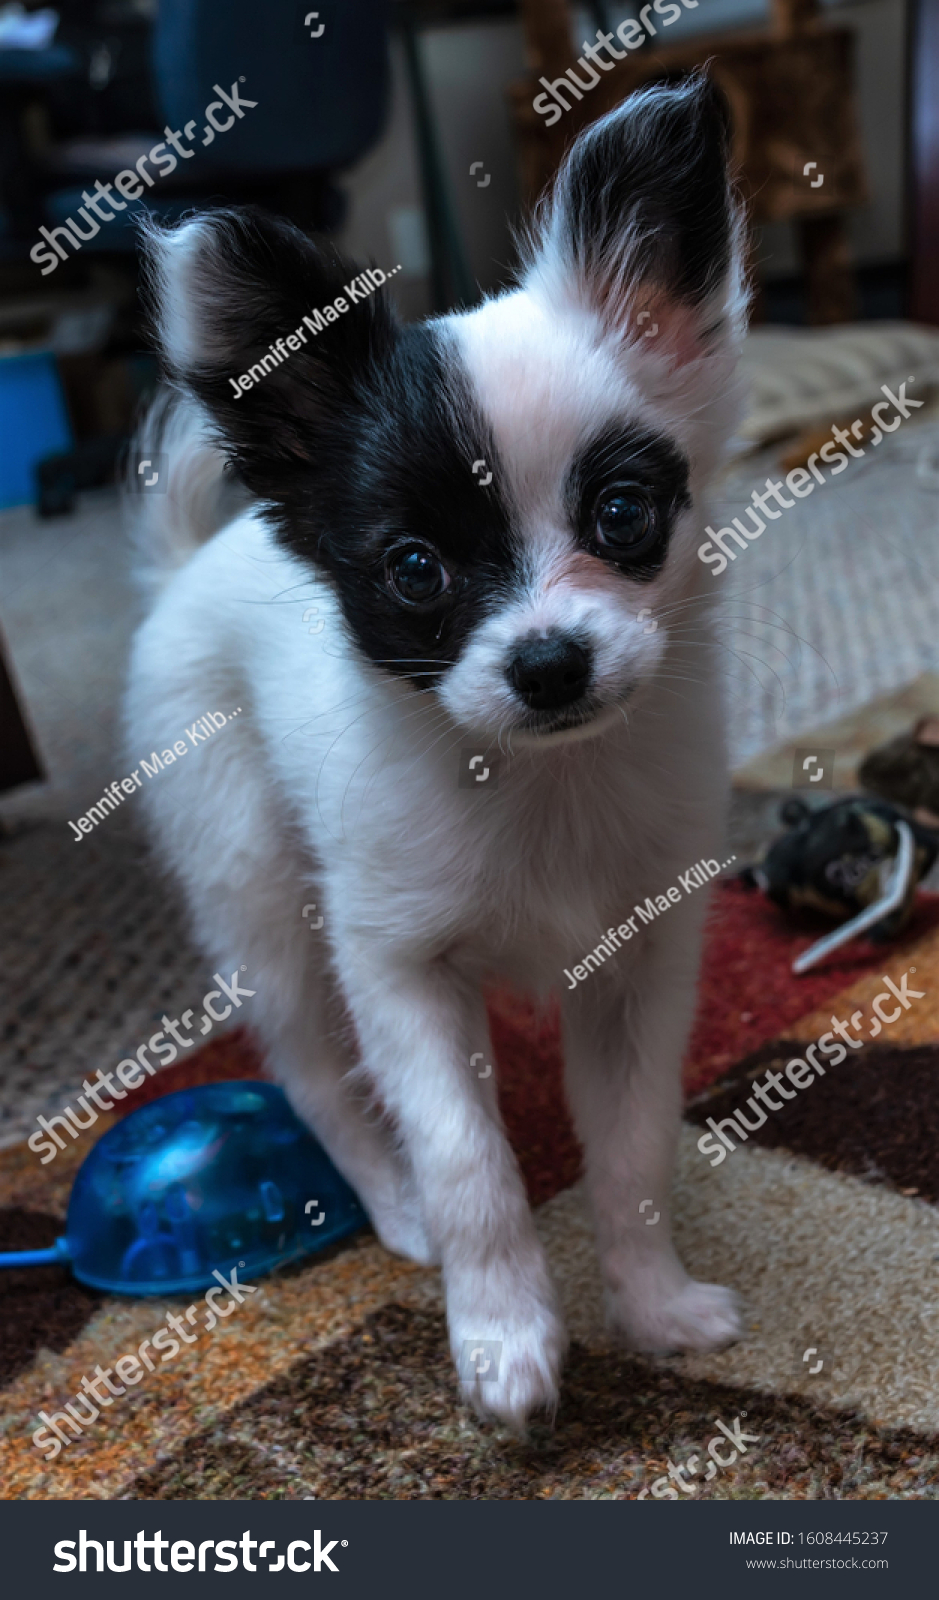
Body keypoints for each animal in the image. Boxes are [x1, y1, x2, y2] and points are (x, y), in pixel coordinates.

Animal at [126, 78, 748, 1427]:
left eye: (623, 514)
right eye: (415, 569)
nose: (549, 661)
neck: (541, 781)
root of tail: (189, 566)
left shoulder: (642, 963)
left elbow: (632, 1151)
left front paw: (654, 1310)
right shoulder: (397, 968)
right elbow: (470, 1162)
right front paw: (505, 1338)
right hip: (260, 898)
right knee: (315, 1077)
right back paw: (395, 1206)